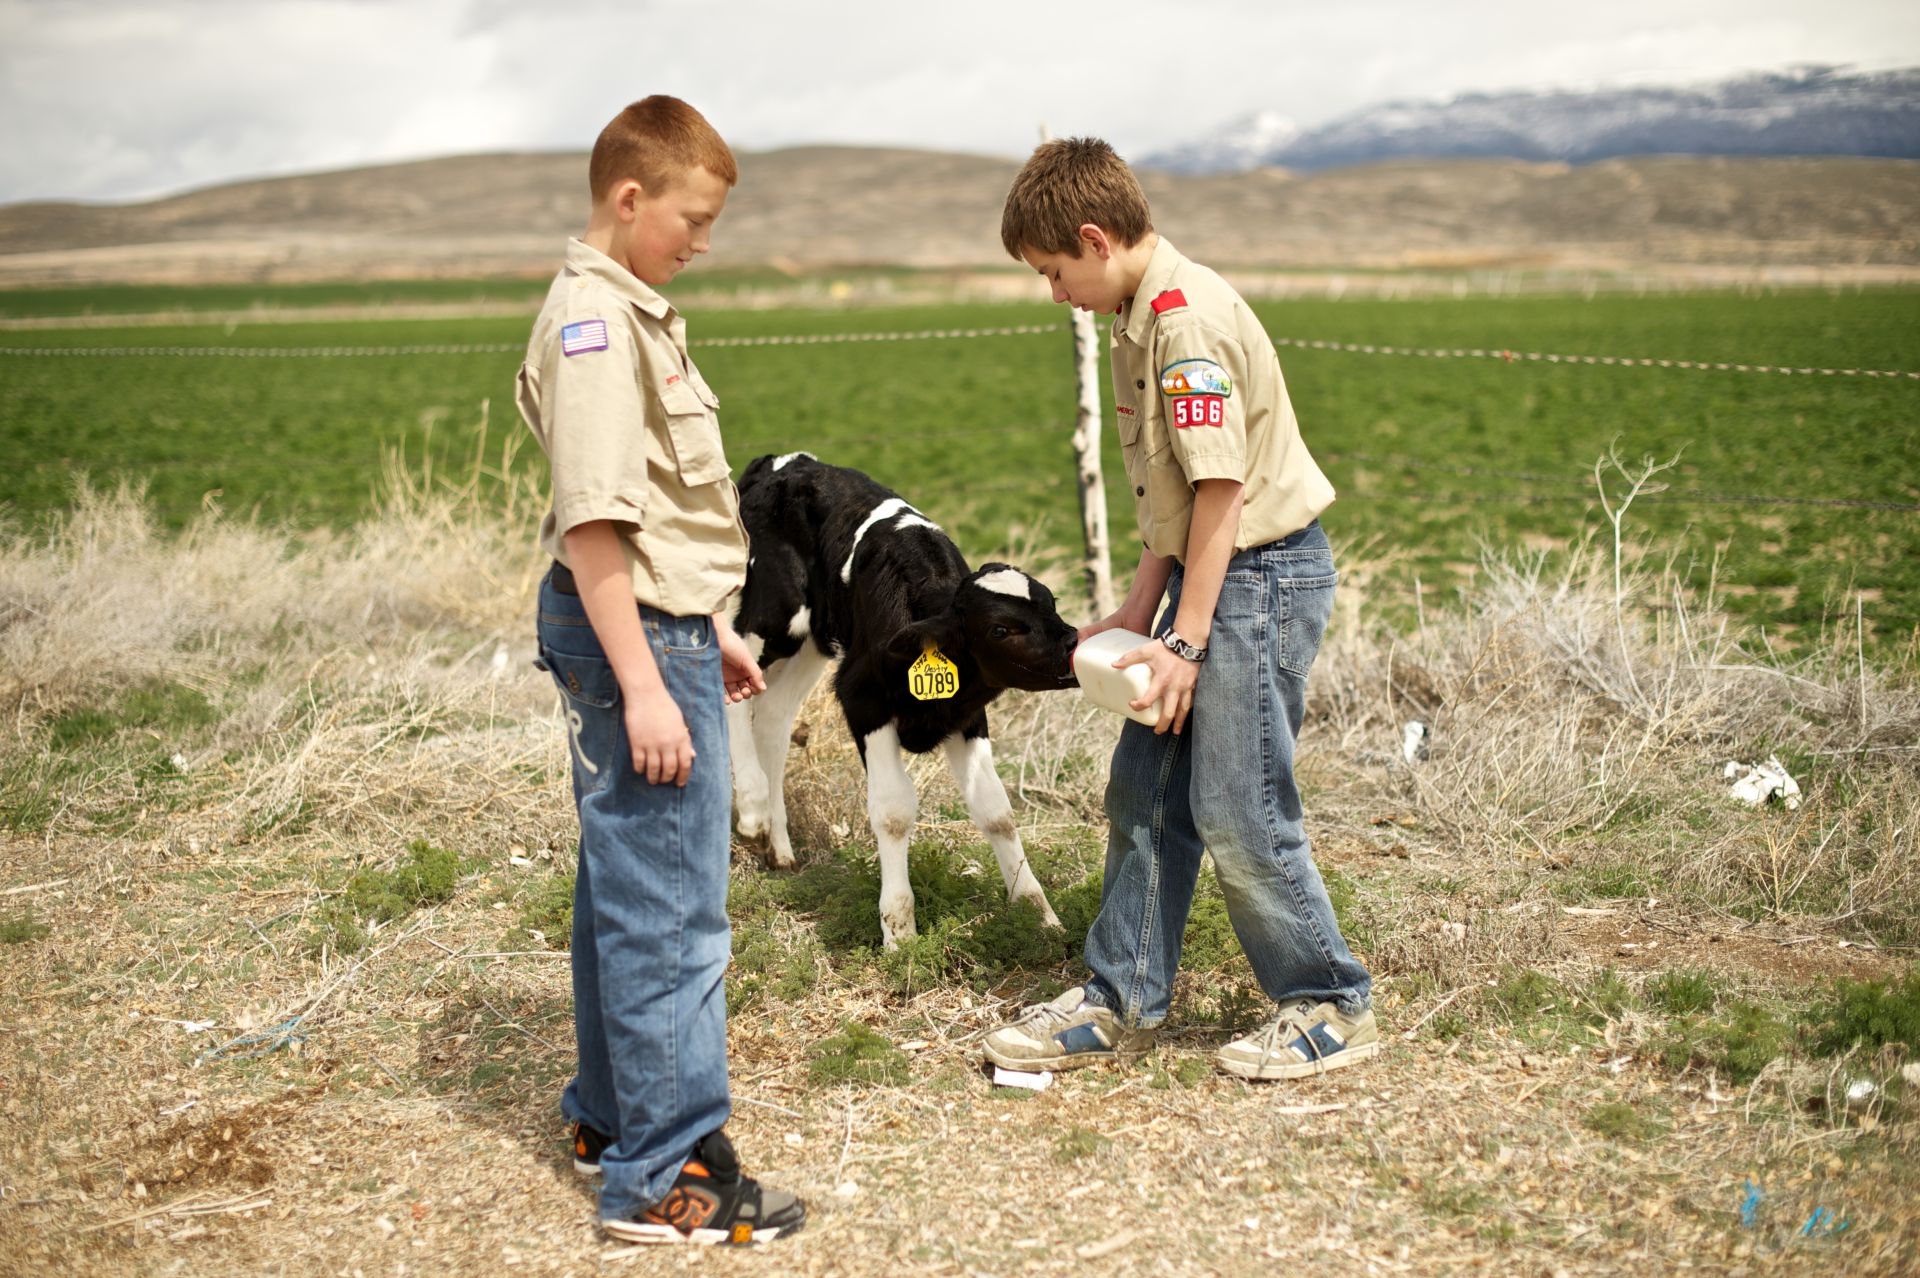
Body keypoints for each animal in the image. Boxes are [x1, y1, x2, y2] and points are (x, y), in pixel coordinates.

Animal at [725, 452, 1082, 940]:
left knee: (775, 720)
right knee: (734, 678)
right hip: (774, 613)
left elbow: (996, 809)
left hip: (813, 641)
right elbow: (893, 811)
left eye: (1052, 602)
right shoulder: (863, 698)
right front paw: (899, 931)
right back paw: (752, 811)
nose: (1073, 643)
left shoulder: (967, 713)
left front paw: (1038, 913)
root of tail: (785, 461)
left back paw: (777, 845)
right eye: (1000, 629)